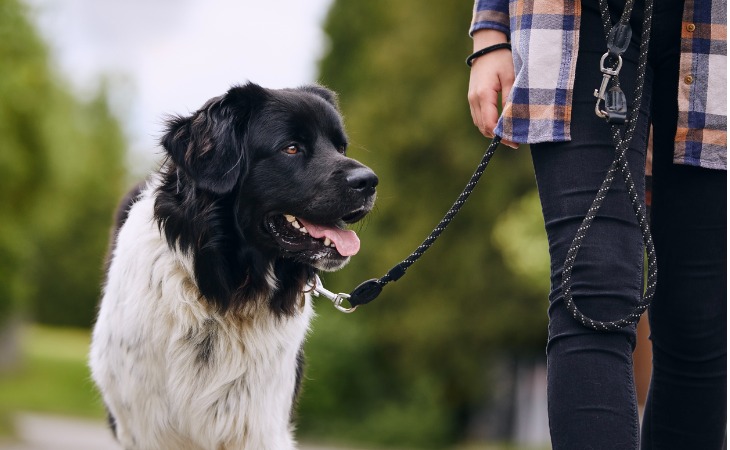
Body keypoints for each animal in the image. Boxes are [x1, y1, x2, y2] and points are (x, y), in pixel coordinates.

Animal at [89, 81, 378, 450]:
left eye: (340, 147)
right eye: (291, 148)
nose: (369, 181)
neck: (225, 292)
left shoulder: (260, 424)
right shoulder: (146, 427)